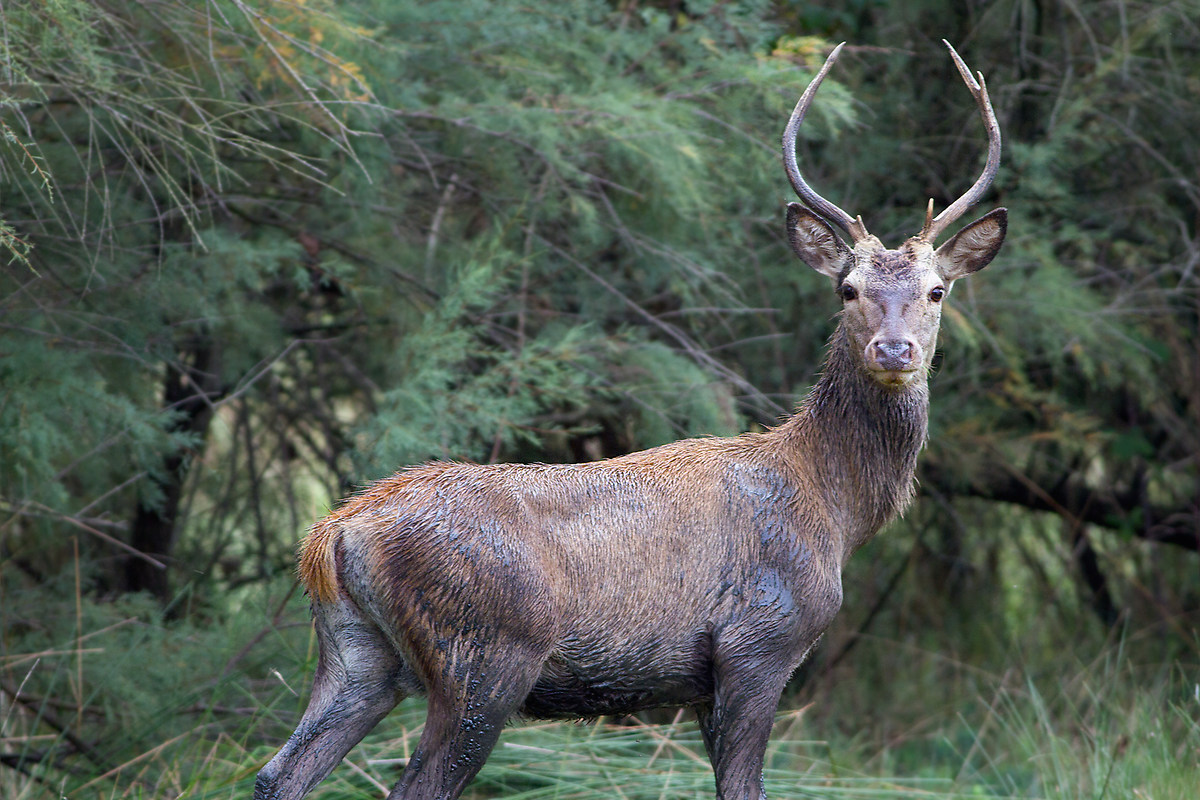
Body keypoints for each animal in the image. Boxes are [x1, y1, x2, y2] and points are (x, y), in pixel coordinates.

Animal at [255, 40, 1006, 800]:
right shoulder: (758, 644)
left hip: (357, 654)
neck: (836, 507)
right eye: (847, 288)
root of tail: (336, 534)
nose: (893, 349)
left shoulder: (705, 679)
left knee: (279, 774)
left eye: (937, 291)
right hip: (483, 656)